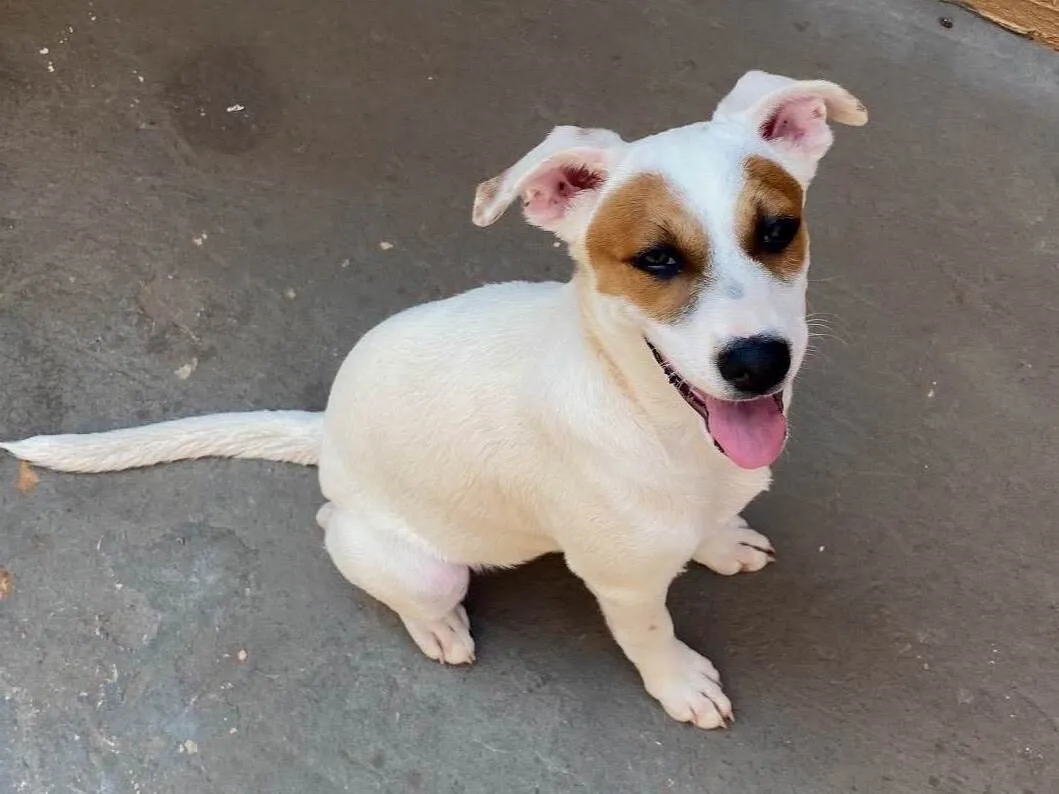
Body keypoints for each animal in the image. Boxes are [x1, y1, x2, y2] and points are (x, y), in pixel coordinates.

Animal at [2, 70, 866, 729]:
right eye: (655, 260)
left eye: (777, 231)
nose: (759, 363)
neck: (651, 417)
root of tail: (328, 432)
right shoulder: (620, 582)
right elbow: (650, 634)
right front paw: (679, 683)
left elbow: (710, 525)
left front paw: (720, 541)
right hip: (421, 565)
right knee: (351, 545)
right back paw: (439, 626)